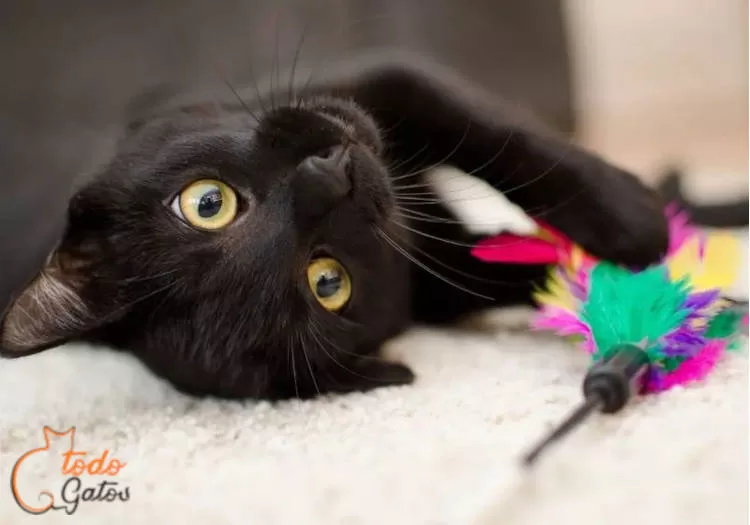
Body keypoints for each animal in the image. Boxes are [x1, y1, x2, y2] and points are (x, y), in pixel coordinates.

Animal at [0, 54, 668, 398]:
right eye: (327, 283)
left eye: (207, 204)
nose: (328, 179)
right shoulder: (440, 285)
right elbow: (522, 267)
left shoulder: (384, 80)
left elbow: (497, 136)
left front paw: (634, 221)